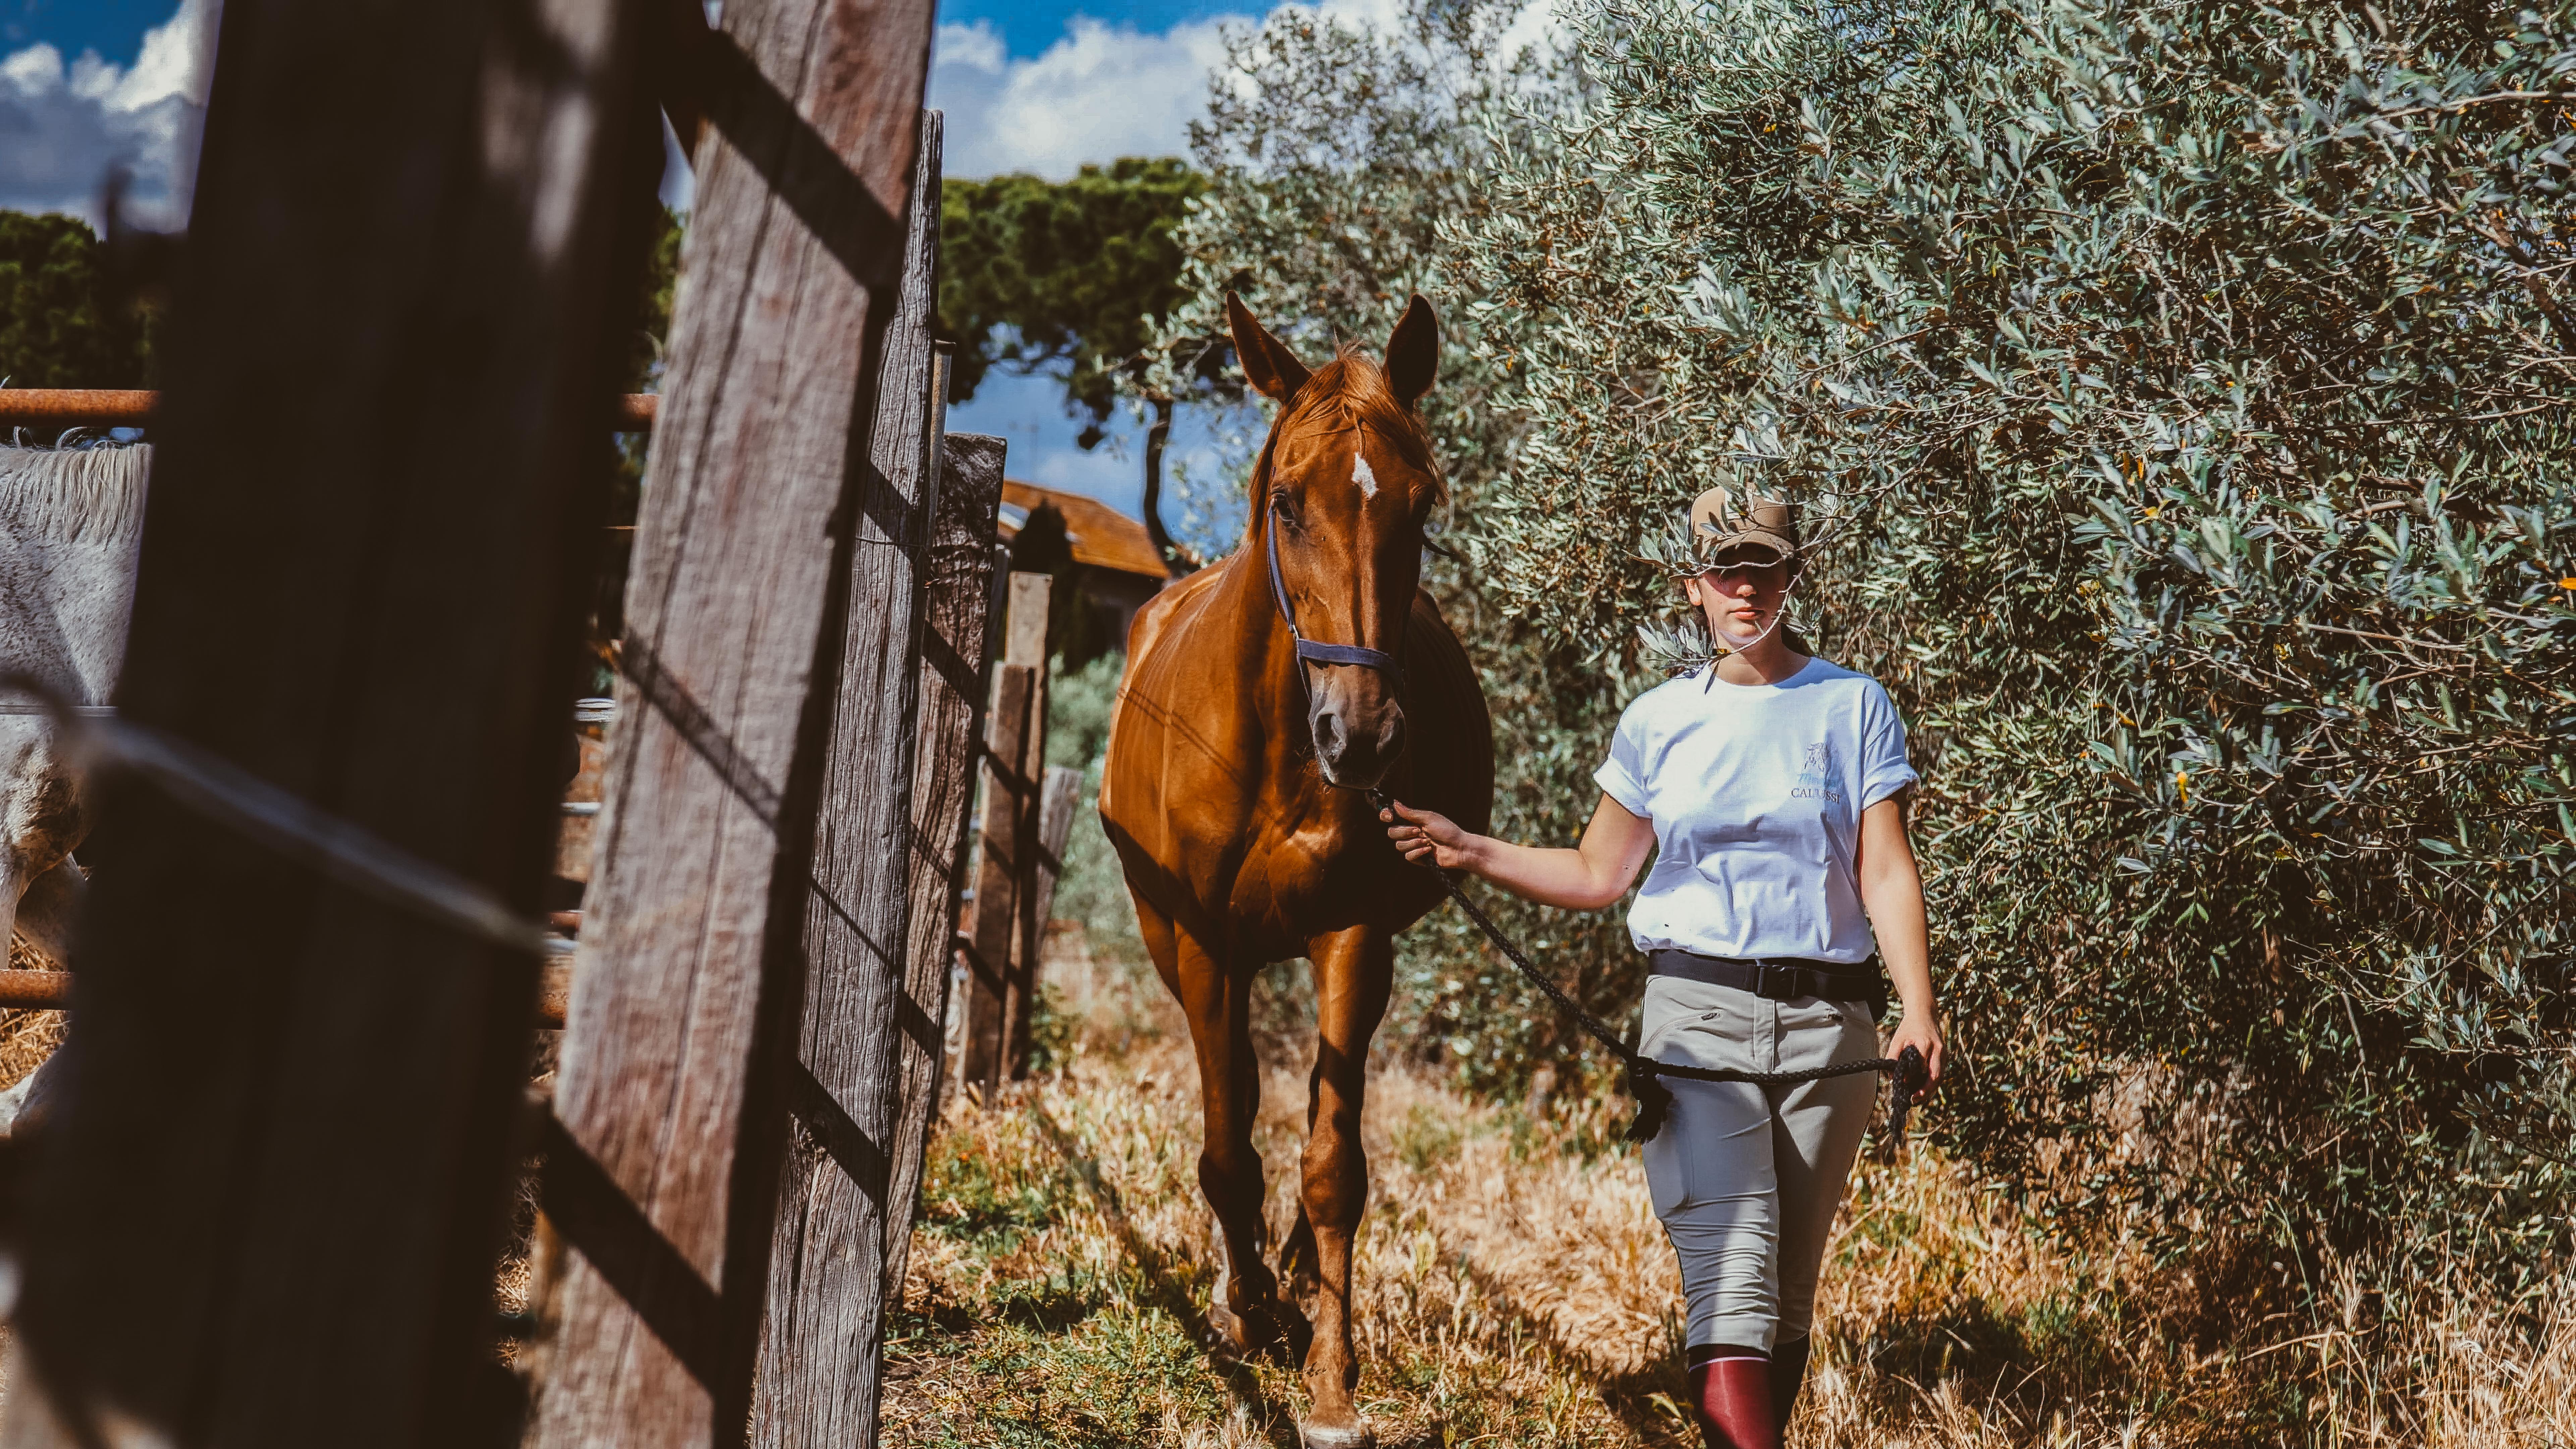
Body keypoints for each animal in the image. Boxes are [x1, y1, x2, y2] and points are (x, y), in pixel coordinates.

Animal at [1099, 294, 1493, 1447]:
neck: (1270, 748)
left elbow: (1332, 1170)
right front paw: (1249, 1315)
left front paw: (1328, 1384)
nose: (1362, 738)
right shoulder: (1199, 944)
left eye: (1422, 505)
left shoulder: (1351, 937)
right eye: (1285, 503)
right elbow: (1229, 1149)